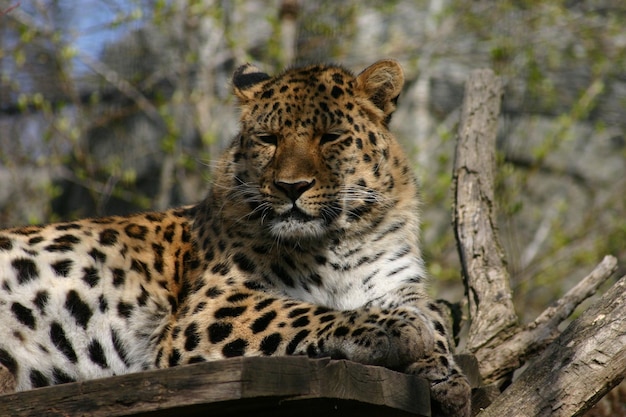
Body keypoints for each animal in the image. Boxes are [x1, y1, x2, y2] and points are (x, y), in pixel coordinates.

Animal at [0, 59, 468, 416]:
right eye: (268, 139)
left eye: (330, 138)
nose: (291, 187)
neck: (338, 241)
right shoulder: (211, 305)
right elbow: (301, 312)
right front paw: (399, 330)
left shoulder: (401, 283)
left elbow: (436, 315)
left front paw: (446, 376)